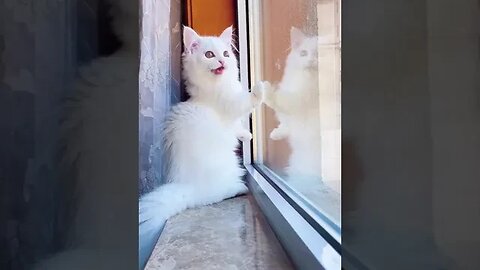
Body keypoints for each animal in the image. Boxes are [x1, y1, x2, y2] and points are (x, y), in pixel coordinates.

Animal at [139, 25, 266, 232]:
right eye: (209, 55)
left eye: (226, 54)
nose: (222, 61)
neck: (215, 89)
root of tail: (188, 186)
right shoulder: (231, 105)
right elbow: (247, 102)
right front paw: (260, 89)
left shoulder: (232, 120)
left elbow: (237, 128)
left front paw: (247, 135)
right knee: (216, 194)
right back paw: (241, 188)